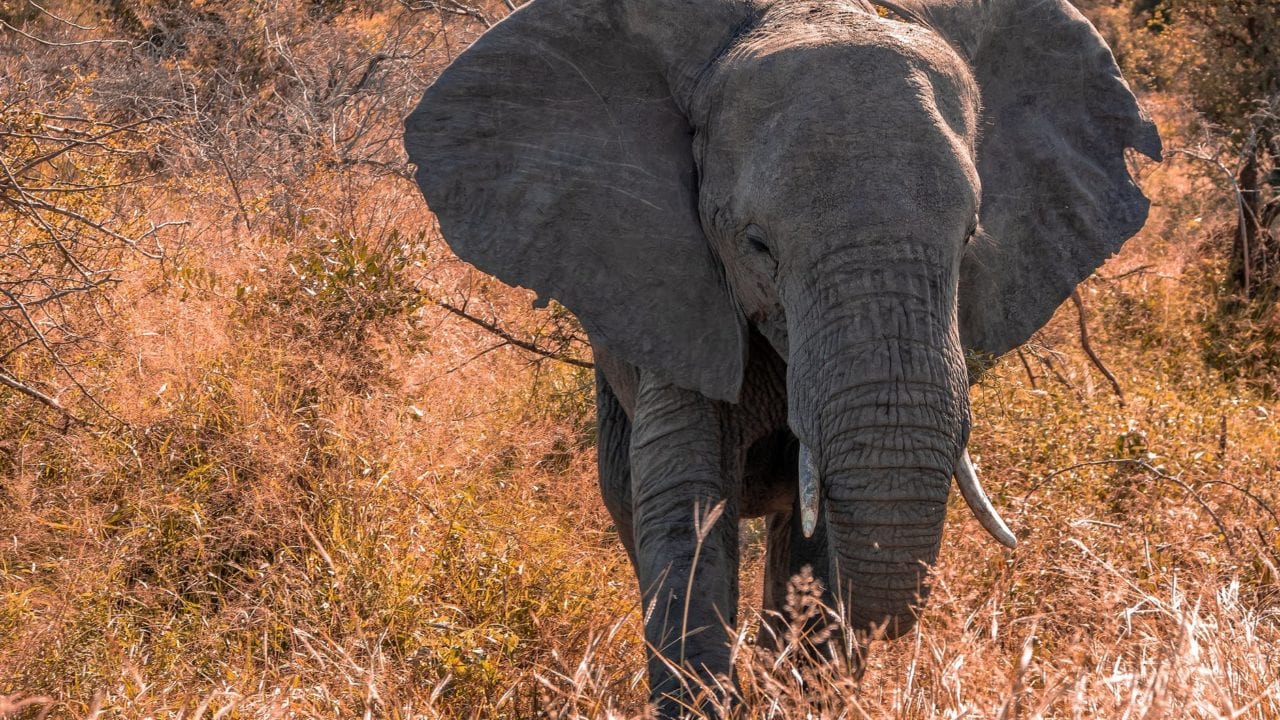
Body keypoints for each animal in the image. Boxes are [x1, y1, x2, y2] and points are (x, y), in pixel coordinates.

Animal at [403, 0, 1160, 713]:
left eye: (972, 234)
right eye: (756, 244)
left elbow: (817, 538)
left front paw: (803, 691)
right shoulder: (674, 287)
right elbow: (687, 505)